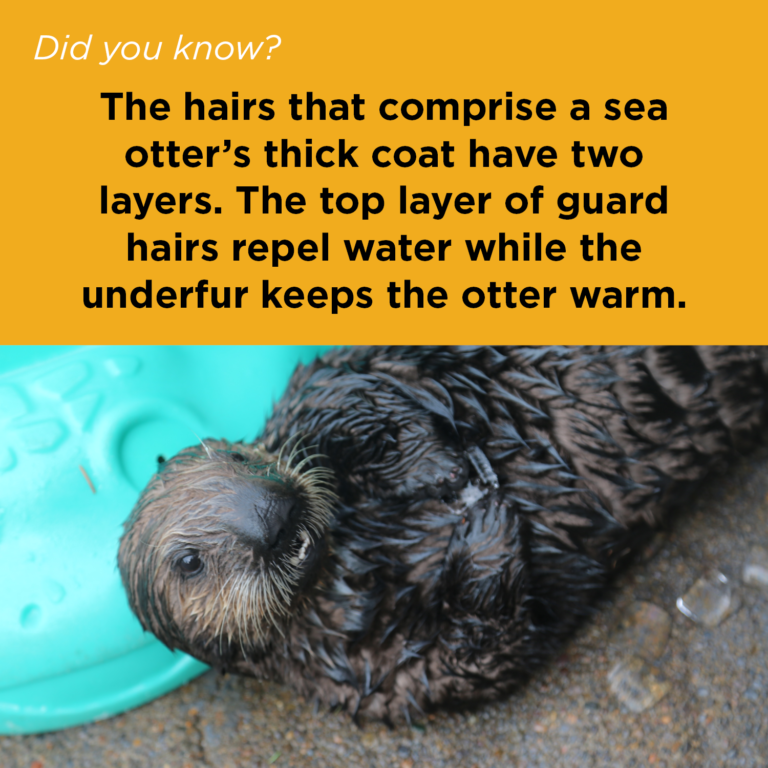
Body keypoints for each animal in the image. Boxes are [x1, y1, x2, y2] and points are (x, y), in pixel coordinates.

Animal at [119, 346, 767, 721]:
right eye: (189, 563)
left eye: (238, 457)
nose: (269, 511)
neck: (353, 561)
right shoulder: (397, 681)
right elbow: (488, 644)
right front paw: (483, 508)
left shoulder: (318, 395)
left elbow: (359, 399)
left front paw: (447, 469)